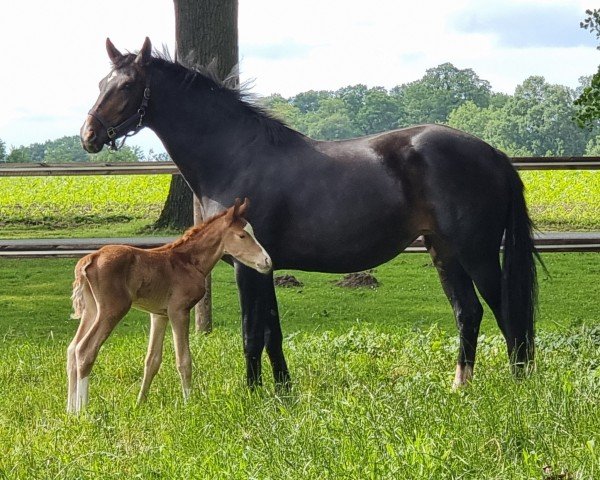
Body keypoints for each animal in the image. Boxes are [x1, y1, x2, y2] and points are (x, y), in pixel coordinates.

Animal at [67, 199, 270, 412]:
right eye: (242, 235)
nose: (267, 261)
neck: (188, 261)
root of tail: (90, 259)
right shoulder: (178, 311)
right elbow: (184, 360)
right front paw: (189, 404)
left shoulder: (159, 314)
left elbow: (152, 361)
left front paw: (140, 403)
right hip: (112, 310)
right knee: (85, 350)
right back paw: (82, 411)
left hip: (92, 310)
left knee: (72, 349)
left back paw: (70, 411)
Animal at [81, 38, 540, 390]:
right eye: (101, 82)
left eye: (127, 85)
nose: (88, 135)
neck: (236, 154)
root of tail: (494, 154)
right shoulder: (263, 265)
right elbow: (272, 332)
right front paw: (282, 391)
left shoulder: (247, 268)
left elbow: (252, 333)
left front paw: (253, 394)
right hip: (444, 252)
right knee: (469, 312)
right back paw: (461, 385)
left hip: (477, 252)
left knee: (506, 312)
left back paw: (519, 386)